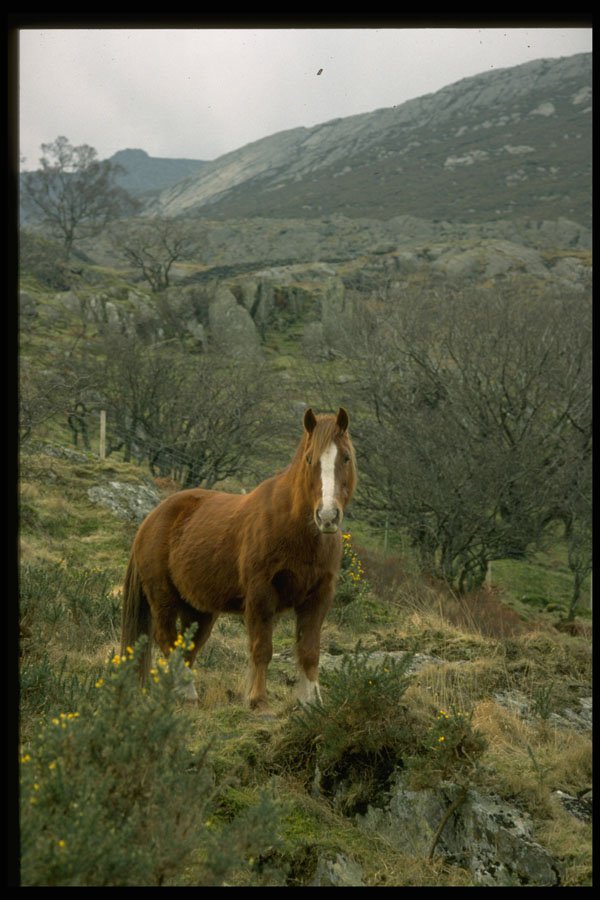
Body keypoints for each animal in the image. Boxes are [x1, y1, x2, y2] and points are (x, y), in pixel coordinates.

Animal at [121, 407, 357, 710]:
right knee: (167, 640)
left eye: (346, 457)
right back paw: (186, 693)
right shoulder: (260, 595)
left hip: (198, 609)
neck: (295, 529)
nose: (327, 516)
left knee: (188, 647)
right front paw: (258, 701)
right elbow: (262, 649)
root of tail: (151, 518)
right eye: (309, 459)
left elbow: (309, 651)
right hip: (163, 598)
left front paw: (310, 703)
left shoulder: (318, 598)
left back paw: (184, 695)